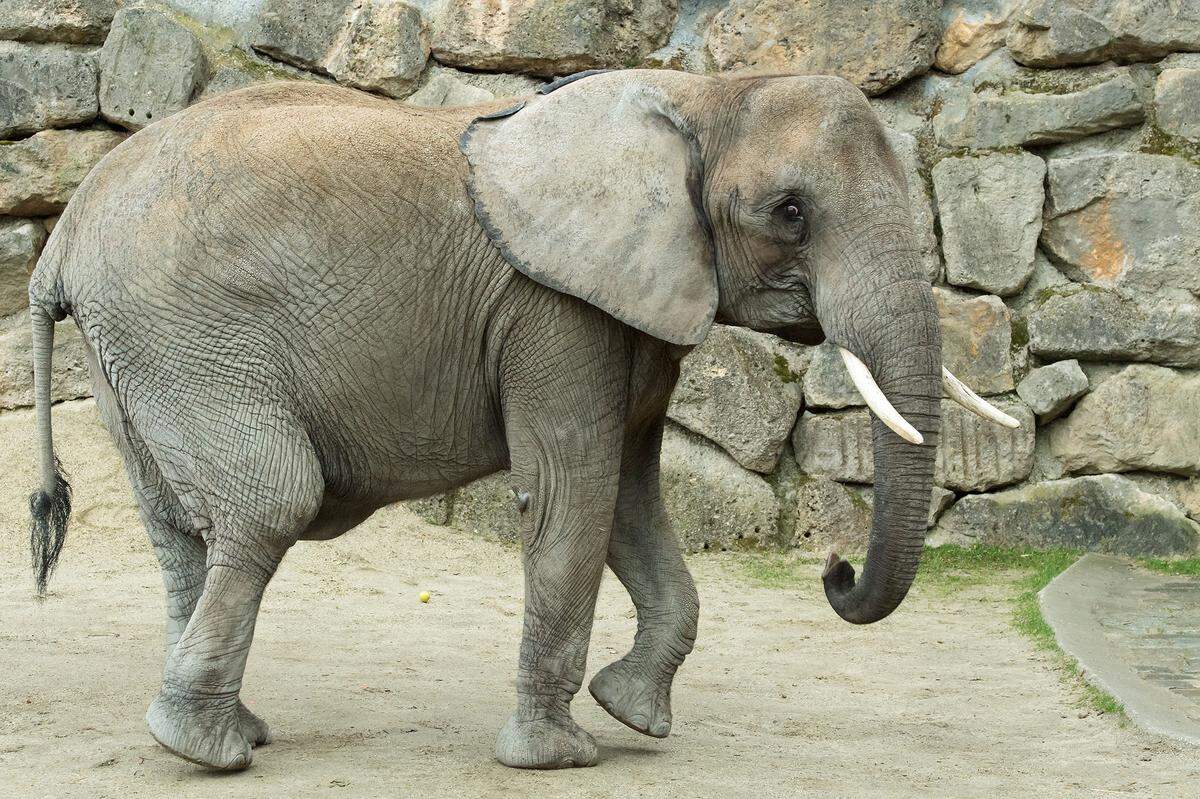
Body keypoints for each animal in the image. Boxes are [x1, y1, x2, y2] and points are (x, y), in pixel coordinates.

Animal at [23, 69, 1017, 772]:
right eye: (791, 211)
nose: (834, 569)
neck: (700, 93)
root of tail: (59, 240)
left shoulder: (630, 303)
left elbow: (629, 498)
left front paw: (632, 714)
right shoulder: (553, 306)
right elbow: (574, 492)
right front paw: (559, 756)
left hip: (133, 354)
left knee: (180, 529)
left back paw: (225, 729)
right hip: (182, 336)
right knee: (272, 502)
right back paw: (207, 750)